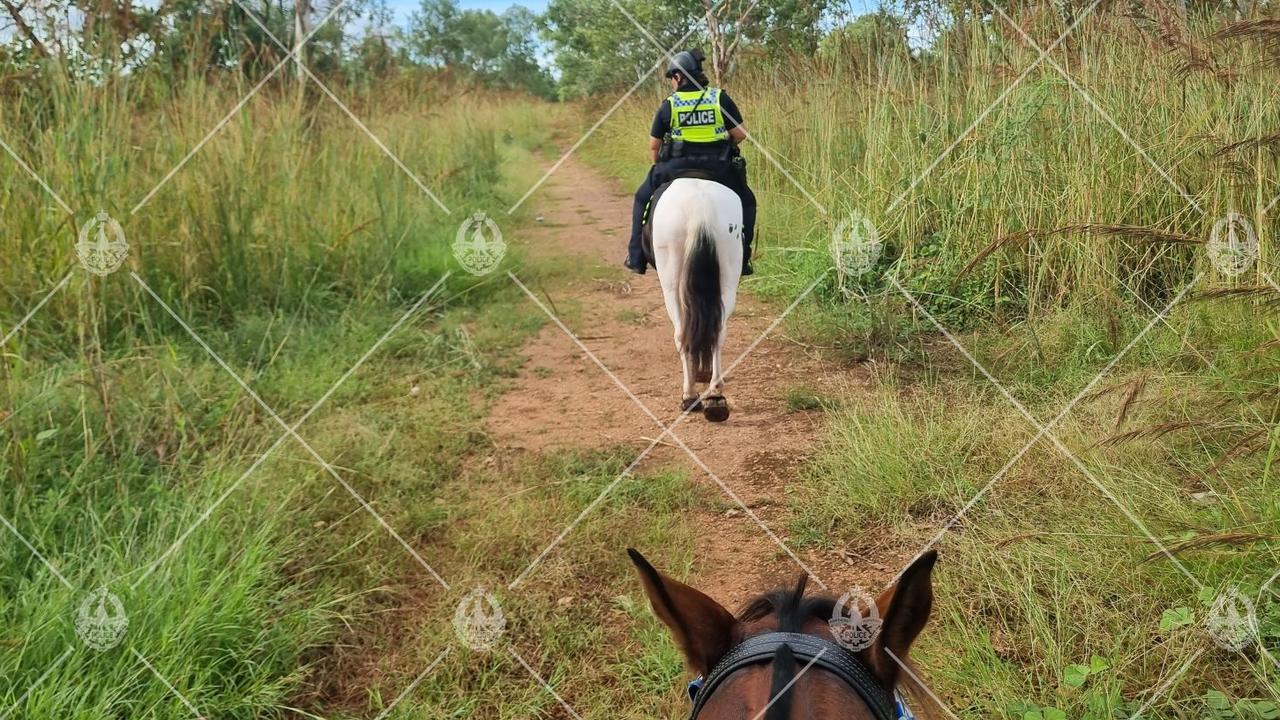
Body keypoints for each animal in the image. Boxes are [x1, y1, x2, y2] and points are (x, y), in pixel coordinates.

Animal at [650, 175, 742, 417]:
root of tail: (701, 209)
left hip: (670, 281)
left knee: (681, 333)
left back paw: (689, 395)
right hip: (729, 277)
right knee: (717, 331)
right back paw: (715, 396)